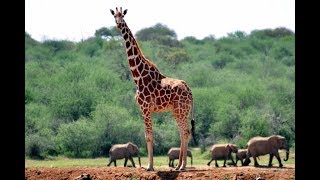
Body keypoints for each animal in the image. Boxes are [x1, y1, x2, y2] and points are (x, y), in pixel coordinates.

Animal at [109, 6, 195, 170]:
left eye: (122, 15)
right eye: (114, 16)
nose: (118, 23)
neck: (138, 76)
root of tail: (190, 91)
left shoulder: (145, 108)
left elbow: (149, 136)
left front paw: (149, 166)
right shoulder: (144, 110)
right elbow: (148, 136)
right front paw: (150, 165)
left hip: (181, 110)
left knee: (185, 132)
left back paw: (182, 166)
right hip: (179, 111)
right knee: (183, 132)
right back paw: (178, 166)